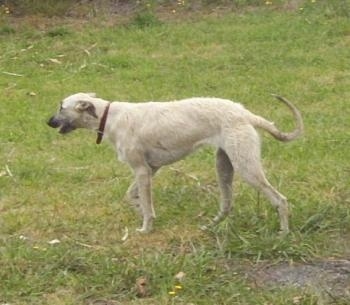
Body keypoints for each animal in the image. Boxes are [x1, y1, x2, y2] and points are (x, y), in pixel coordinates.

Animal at [47, 92, 302, 233]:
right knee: (227, 205)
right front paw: (143, 213)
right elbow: (133, 197)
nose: (48, 121)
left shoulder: (141, 170)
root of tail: (245, 113)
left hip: (246, 168)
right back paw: (211, 226)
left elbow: (145, 203)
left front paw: (146, 228)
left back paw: (283, 233)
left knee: (280, 200)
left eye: (61, 107)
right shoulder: (151, 170)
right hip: (224, 166)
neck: (109, 116)